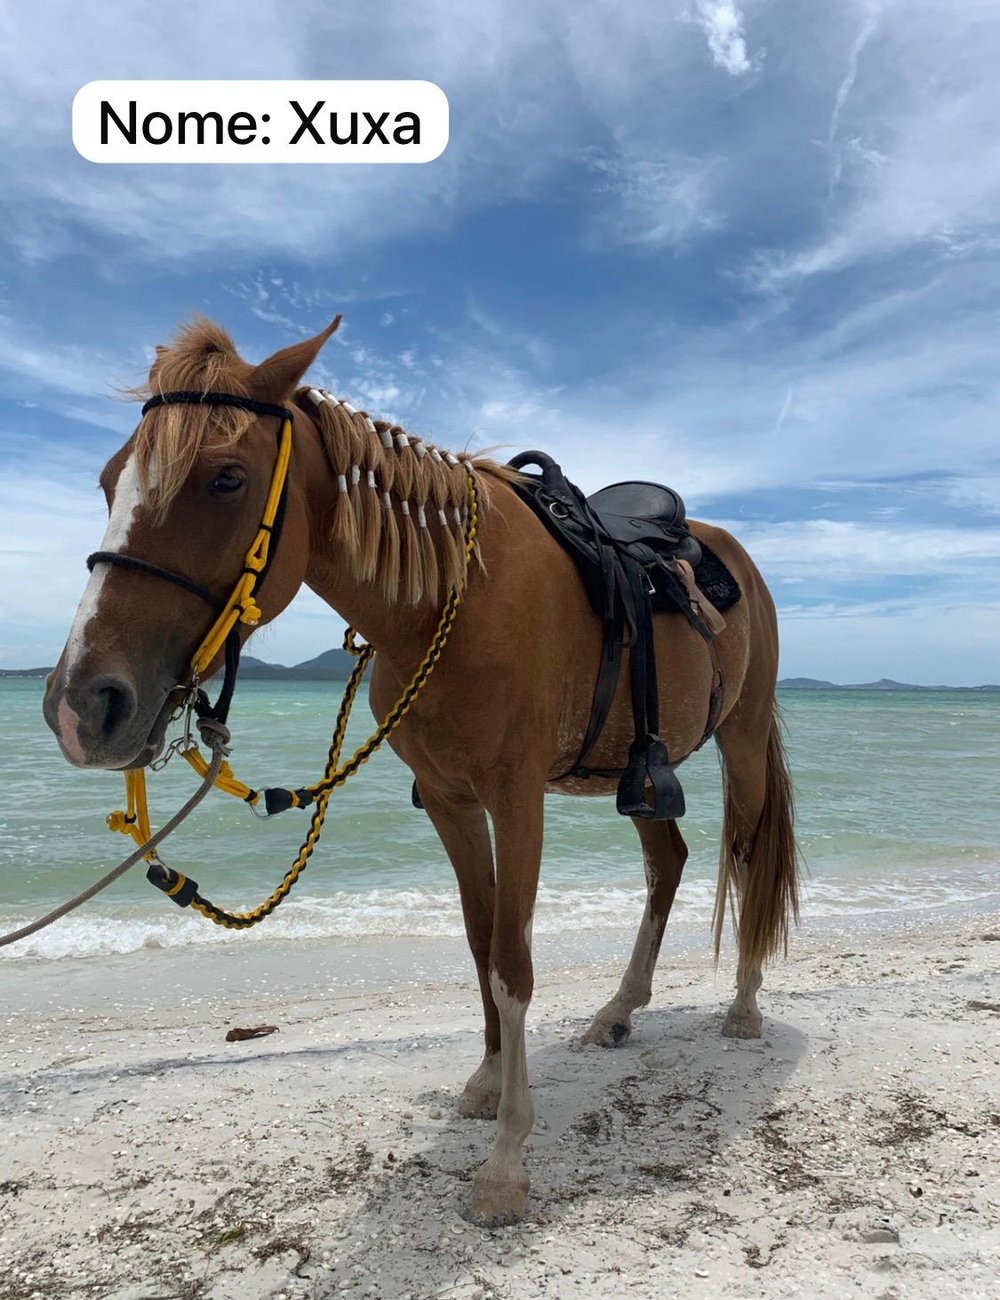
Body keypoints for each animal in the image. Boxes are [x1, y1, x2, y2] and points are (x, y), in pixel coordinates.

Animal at [42, 316, 799, 1226]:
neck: (451, 600)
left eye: (226, 478)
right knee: (669, 865)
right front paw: (486, 1082)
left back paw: (745, 1005)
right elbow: (478, 944)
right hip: (642, 774)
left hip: (742, 740)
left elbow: (511, 962)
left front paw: (506, 1161)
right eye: (107, 480)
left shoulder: (516, 799)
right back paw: (618, 1011)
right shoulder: (449, 801)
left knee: (746, 856)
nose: (82, 704)